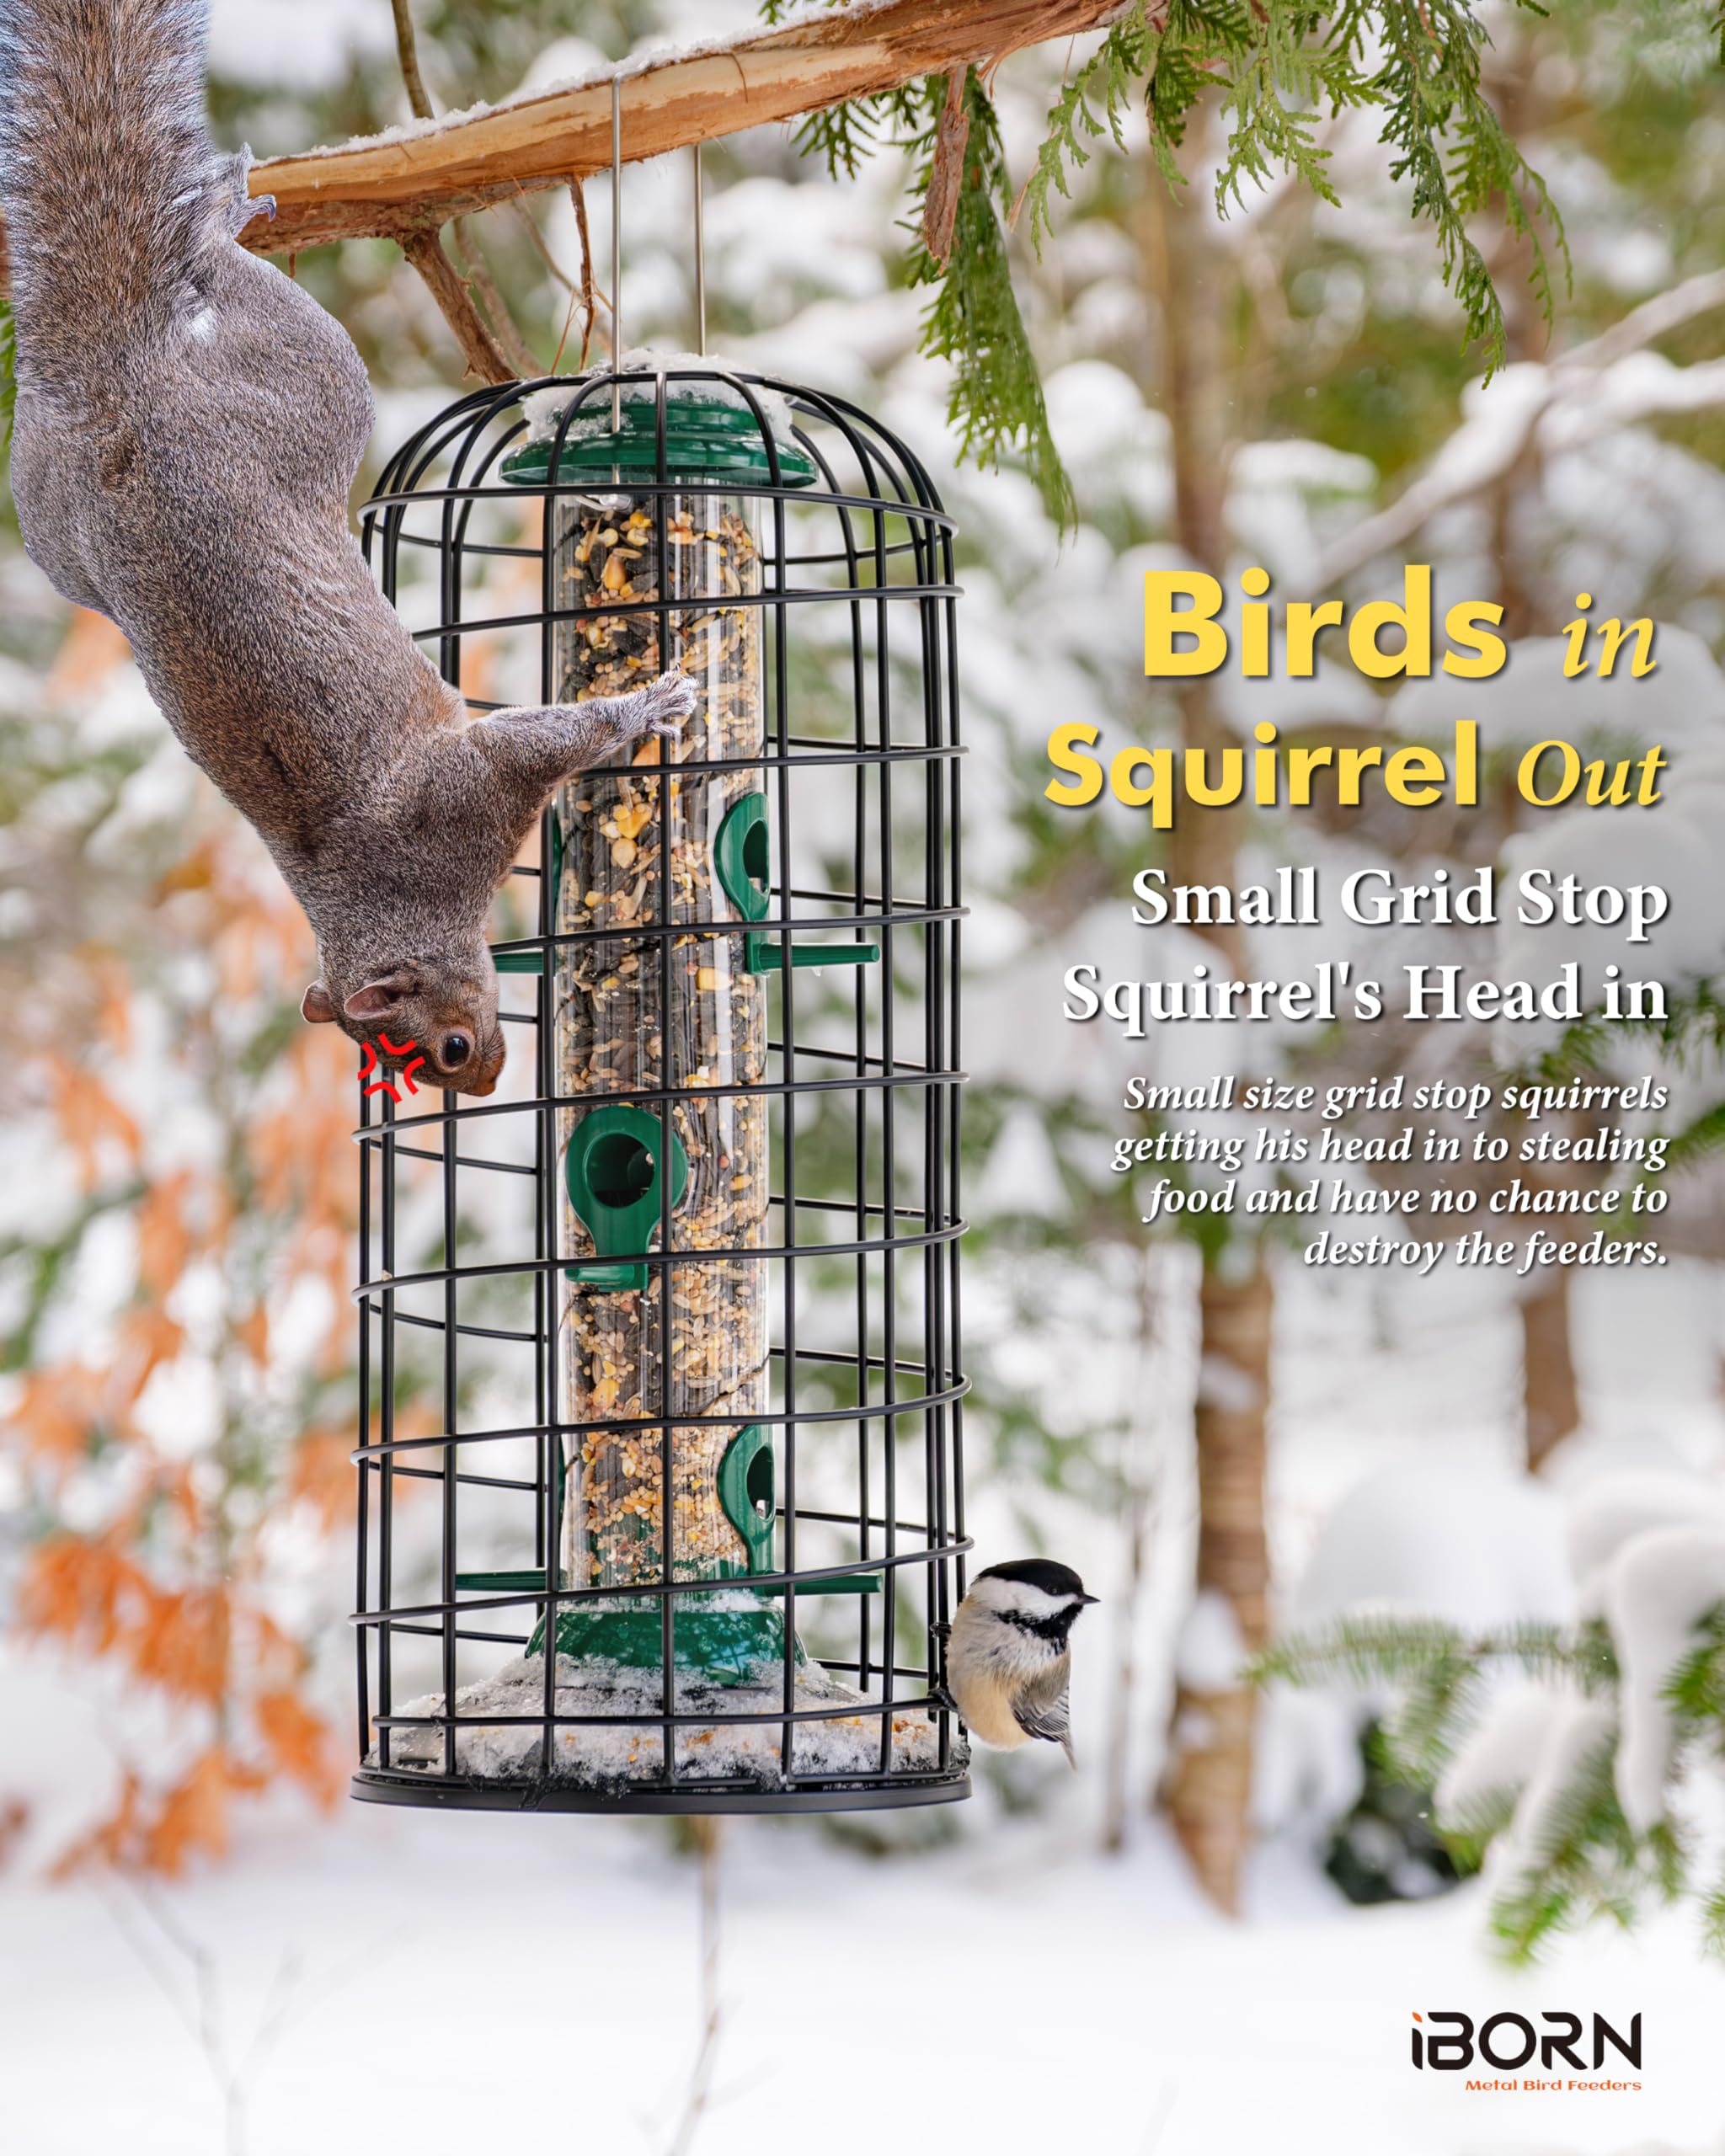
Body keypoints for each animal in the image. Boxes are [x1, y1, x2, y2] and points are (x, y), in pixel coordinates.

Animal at [0, 0, 694, 1096]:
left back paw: (219, 215)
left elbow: (543, 741)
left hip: (272, 404)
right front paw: (648, 706)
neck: (393, 895)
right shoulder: (469, 802)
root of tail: (121, 387)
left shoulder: (462, 799)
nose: (487, 1080)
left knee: (221, 274)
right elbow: (545, 740)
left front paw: (645, 706)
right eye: (445, 1054)